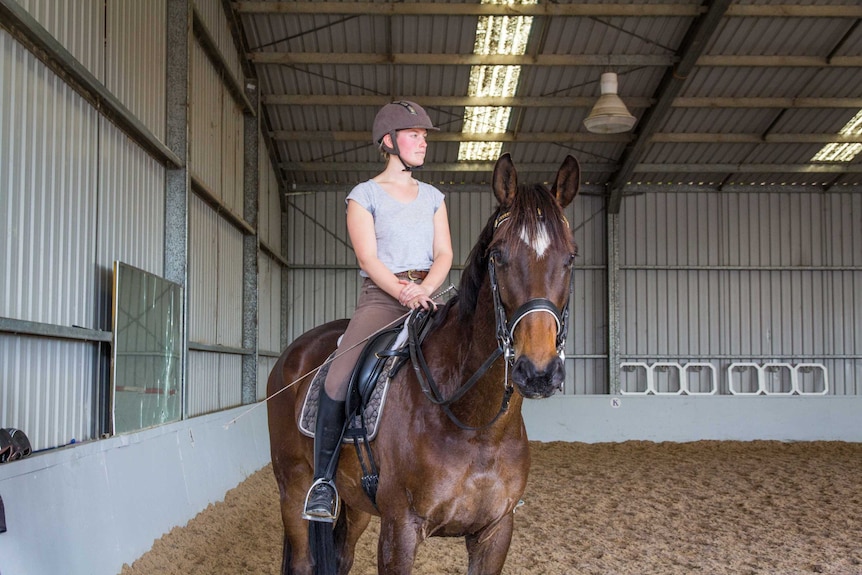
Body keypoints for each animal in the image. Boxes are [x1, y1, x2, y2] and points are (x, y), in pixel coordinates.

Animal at [268, 154, 580, 575]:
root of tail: (294, 352)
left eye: (570, 258)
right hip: (294, 485)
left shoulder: (495, 531)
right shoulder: (400, 529)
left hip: (355, 502)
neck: (475, 425)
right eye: (499, 256)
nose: (539, 372)